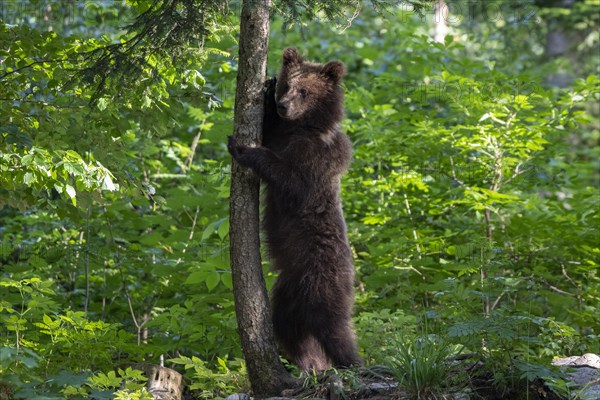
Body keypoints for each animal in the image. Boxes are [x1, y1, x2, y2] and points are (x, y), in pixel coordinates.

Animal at [226, 48, 358, 374]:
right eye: (288, 85)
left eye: (305, 91)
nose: (283, 105)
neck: (303, 127)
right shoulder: (283, 135)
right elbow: (271, 133)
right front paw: (266, 92)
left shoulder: (317, 162)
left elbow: (291, 180)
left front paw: (243, 148)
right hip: (288, 292)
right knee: (290, 329)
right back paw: (311, 365)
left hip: (324, 280)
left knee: (334, 328)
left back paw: (351, 362)